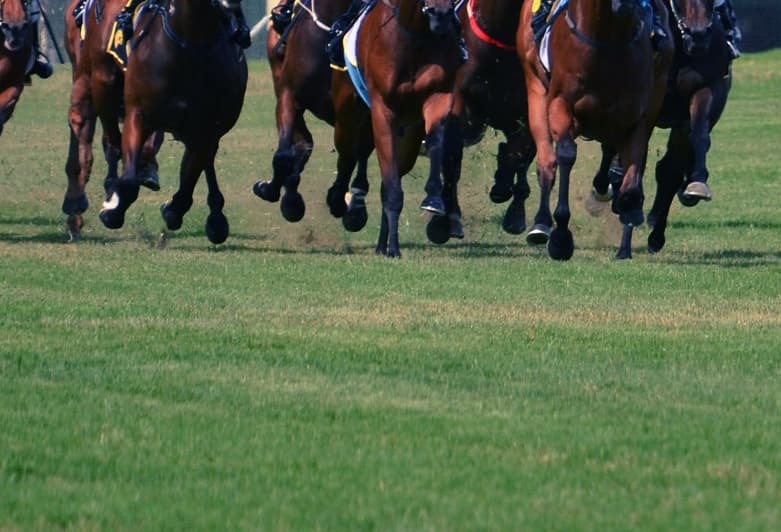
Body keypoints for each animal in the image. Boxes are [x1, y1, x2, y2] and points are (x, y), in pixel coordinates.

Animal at [97, 0, 248, 245]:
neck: (189, 40)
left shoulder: (206, 130)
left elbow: (188, 182)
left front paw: (173, 209)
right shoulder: (138, 114)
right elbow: (129, 180)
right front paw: (112, 210)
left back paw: (216, 216)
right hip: (102, 88)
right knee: (112, 142)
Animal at [253, 0, 373, 231]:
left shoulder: (356, 112)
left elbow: (352, 156)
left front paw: (345, 204)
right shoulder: (289, 96)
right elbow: (286, 154)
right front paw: (281, 195)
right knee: (304, 143)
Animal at [331, 0, 464, 257]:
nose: (441, 14)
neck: (414, 34)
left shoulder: (438, 96)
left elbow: (435, 141)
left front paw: (433, 198)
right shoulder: (382, 110)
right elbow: (391, 186)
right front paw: (393, 248)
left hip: (407, 138)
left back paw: (382, 243)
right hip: (348, 116)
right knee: (349, 155)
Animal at [518, 0, 673, 260]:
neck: (608, 35)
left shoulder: (638, 114)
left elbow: (633, 175)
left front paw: (628, 210)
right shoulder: (560, 103)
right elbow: (566, 154)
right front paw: (560, 238)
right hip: (536, 88)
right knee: (547, 161)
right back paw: (541, 223)